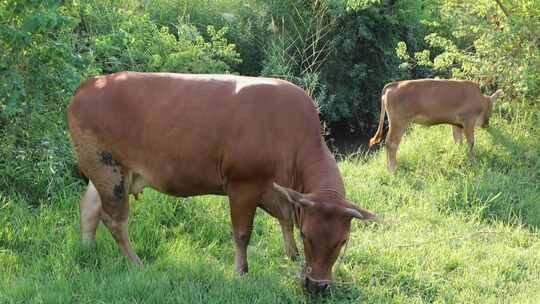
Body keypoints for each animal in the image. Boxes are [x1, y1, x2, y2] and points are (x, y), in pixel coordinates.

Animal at [65, 71, 378, 292]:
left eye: (343, 240)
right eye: (307, 235)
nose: (317, 287)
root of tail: (90, 84)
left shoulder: (274, 189)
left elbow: (285, 215)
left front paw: (291, 254)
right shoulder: (244, 183)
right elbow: (242, 233)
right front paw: (241, 272)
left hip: (102, 171)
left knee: (88, 209)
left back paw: (87, 251)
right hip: (109, 170)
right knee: (115, 221)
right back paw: (136, 263)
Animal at [370, 78, 504, 172]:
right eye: (492, 109)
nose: (487, 124)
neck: (480, 99)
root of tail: (394, 84)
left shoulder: (457, 124)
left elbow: (458, 141)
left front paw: (459, 154)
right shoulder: (468, 121)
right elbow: (471, 143)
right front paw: (472, 161)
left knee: (388, 143)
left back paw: (388, 167)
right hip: (399, 122)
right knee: (391, 143)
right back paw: (393, 169)